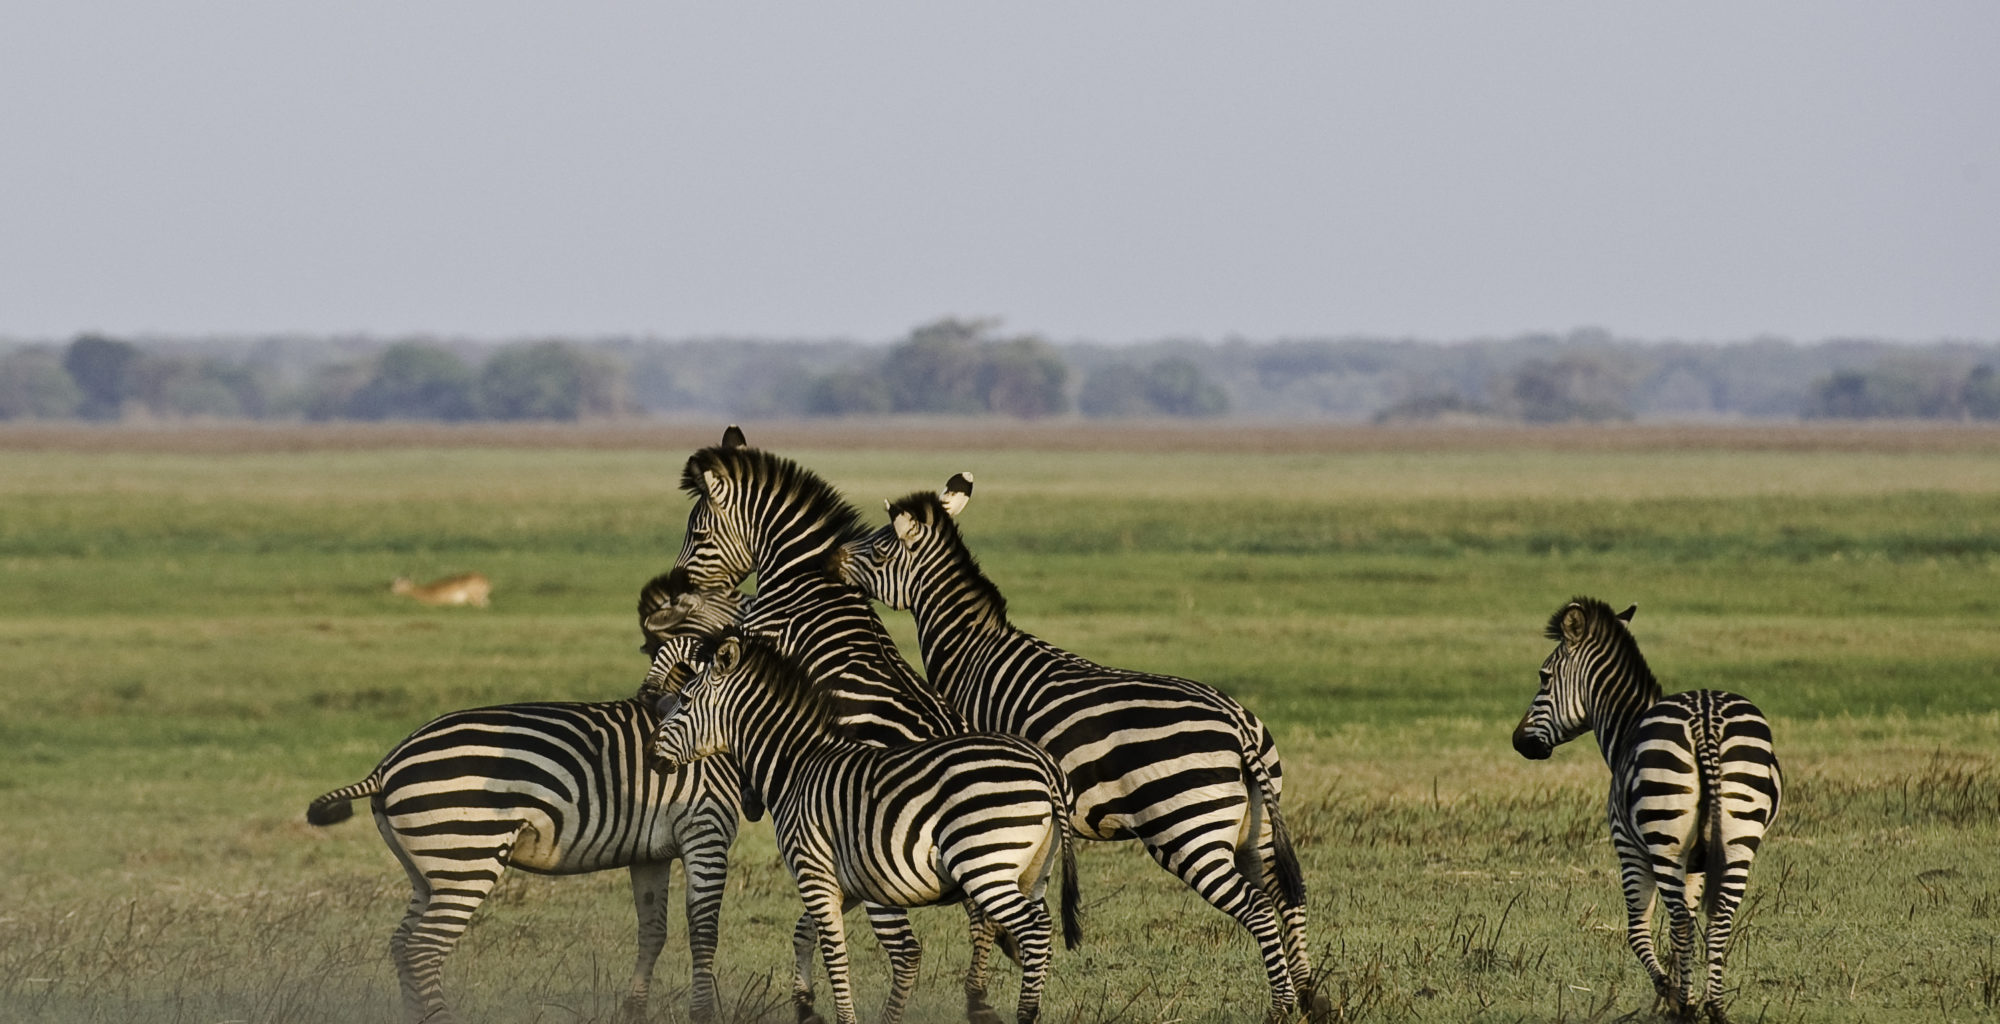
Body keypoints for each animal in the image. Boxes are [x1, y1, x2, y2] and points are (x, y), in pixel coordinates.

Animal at [308, 572, 748, 1020]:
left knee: (401, 942)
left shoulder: (650, 853)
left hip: (428, 869)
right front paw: (703, 1013)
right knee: (423, 948)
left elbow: (653, 931)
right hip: (467, 857)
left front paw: (633, 1012)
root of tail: (385, 767)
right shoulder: (705, 831)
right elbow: (704, 932)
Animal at [648, 628, 1080, 1024]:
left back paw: (1025, 1013)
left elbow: (835, 952)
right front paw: (805, 1006)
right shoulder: (849, 883)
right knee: (1040, 928)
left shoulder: (813, 871)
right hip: (1033, 870)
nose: (651, 756)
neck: (797, 768)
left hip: (983, 865)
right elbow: (803, 932)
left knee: (1033, 930)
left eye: (684, 701)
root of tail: (1042, 763)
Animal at [828, 476, 1328, 1020]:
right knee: (1289, 897)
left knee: (1257, 906)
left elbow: (986, 907)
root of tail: (1236, 724)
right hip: (1257, 827)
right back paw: (1309, 997)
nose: (831, 557)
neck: (972, 655)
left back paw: (1281, 1006)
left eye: (879, 546)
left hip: (1188, 829)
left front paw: (982, 988)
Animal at [1512, 596, 1784, 1020]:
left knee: (1681, 923)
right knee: (1718, 918)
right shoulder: (1698, 863)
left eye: (1544, 677)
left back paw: (1688, 1008)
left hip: (1664, 841)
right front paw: (1682, 991)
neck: (1626, 728)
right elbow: (1683, 925)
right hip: (1740, 836)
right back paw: (1716, 1007)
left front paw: (1672, 994)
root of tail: (1705, 719)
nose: (1518, 740)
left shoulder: (1628, 847)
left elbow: (1638, 932)